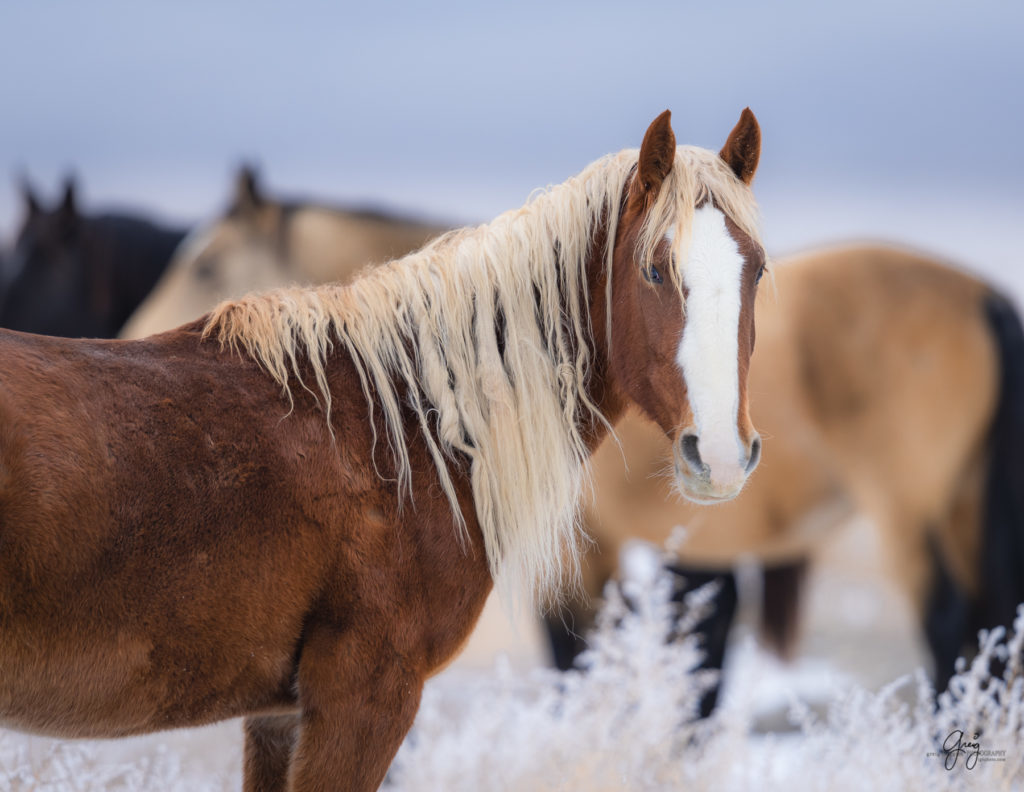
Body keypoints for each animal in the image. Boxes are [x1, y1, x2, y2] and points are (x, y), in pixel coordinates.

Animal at [552, 243, 1024, 713]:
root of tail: (983, 296)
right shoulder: (702, 552)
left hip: (908, 516)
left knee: (947, 620)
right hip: (963, 509)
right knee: (989, 626)